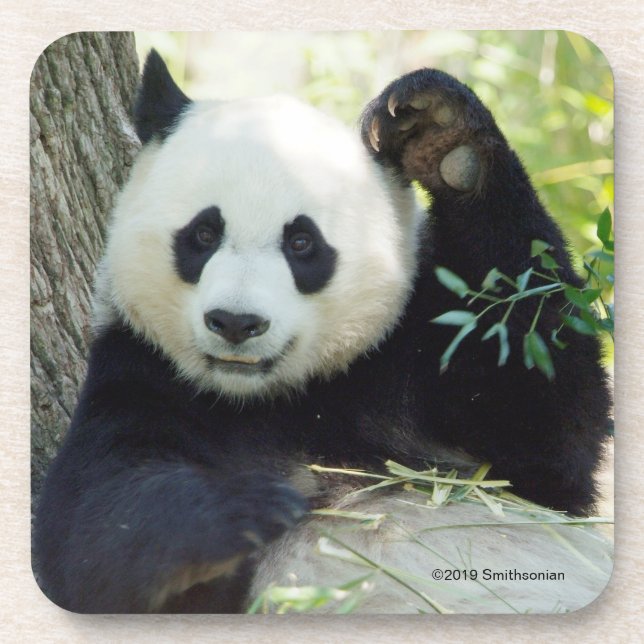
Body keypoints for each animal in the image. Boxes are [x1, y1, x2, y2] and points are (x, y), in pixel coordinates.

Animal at [34, 50, 612, 614]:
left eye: (302, 243)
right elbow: (93, 530)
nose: (236, 322)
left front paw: (441, 132)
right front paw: (251, 509)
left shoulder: (408, 362)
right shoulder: (143, 375)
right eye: (202, 234)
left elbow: (546, 431)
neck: (276, 399)